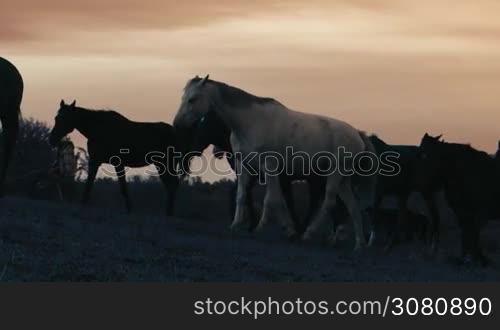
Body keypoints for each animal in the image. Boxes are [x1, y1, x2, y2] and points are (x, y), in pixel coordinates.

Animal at [48, 100, 180, 214]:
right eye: (56, 118)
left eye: (65, 118)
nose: (52, 139)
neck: (99, 130)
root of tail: (175, 132)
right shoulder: (94, 161)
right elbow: (88, 185)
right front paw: (83, 205)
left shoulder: (118, 163)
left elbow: (123, 188)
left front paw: (129, 210)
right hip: (161, 164)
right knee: (171, 185)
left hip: (166, 163)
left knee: (172, 185)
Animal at [175, 75, 376, 250]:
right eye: (183, 97)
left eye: (192, 99)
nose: (177, 124)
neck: (251, 122)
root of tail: (358, 134)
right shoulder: (244, 167)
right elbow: (243, 195)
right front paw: (236, 225)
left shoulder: (270, 167)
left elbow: (271, 200)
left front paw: (261, 227)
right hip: (343, 180)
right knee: (353, 206)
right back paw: (359, 245)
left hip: (335, 175)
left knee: (329, 202)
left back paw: (309, 234)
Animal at [420, 133, 498, 264]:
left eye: (426, 155)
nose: (426, 188)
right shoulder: (460, 211)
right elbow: (467, 232)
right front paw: (467, 257)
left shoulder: (480, 212)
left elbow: (473, 232)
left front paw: (479, 258)